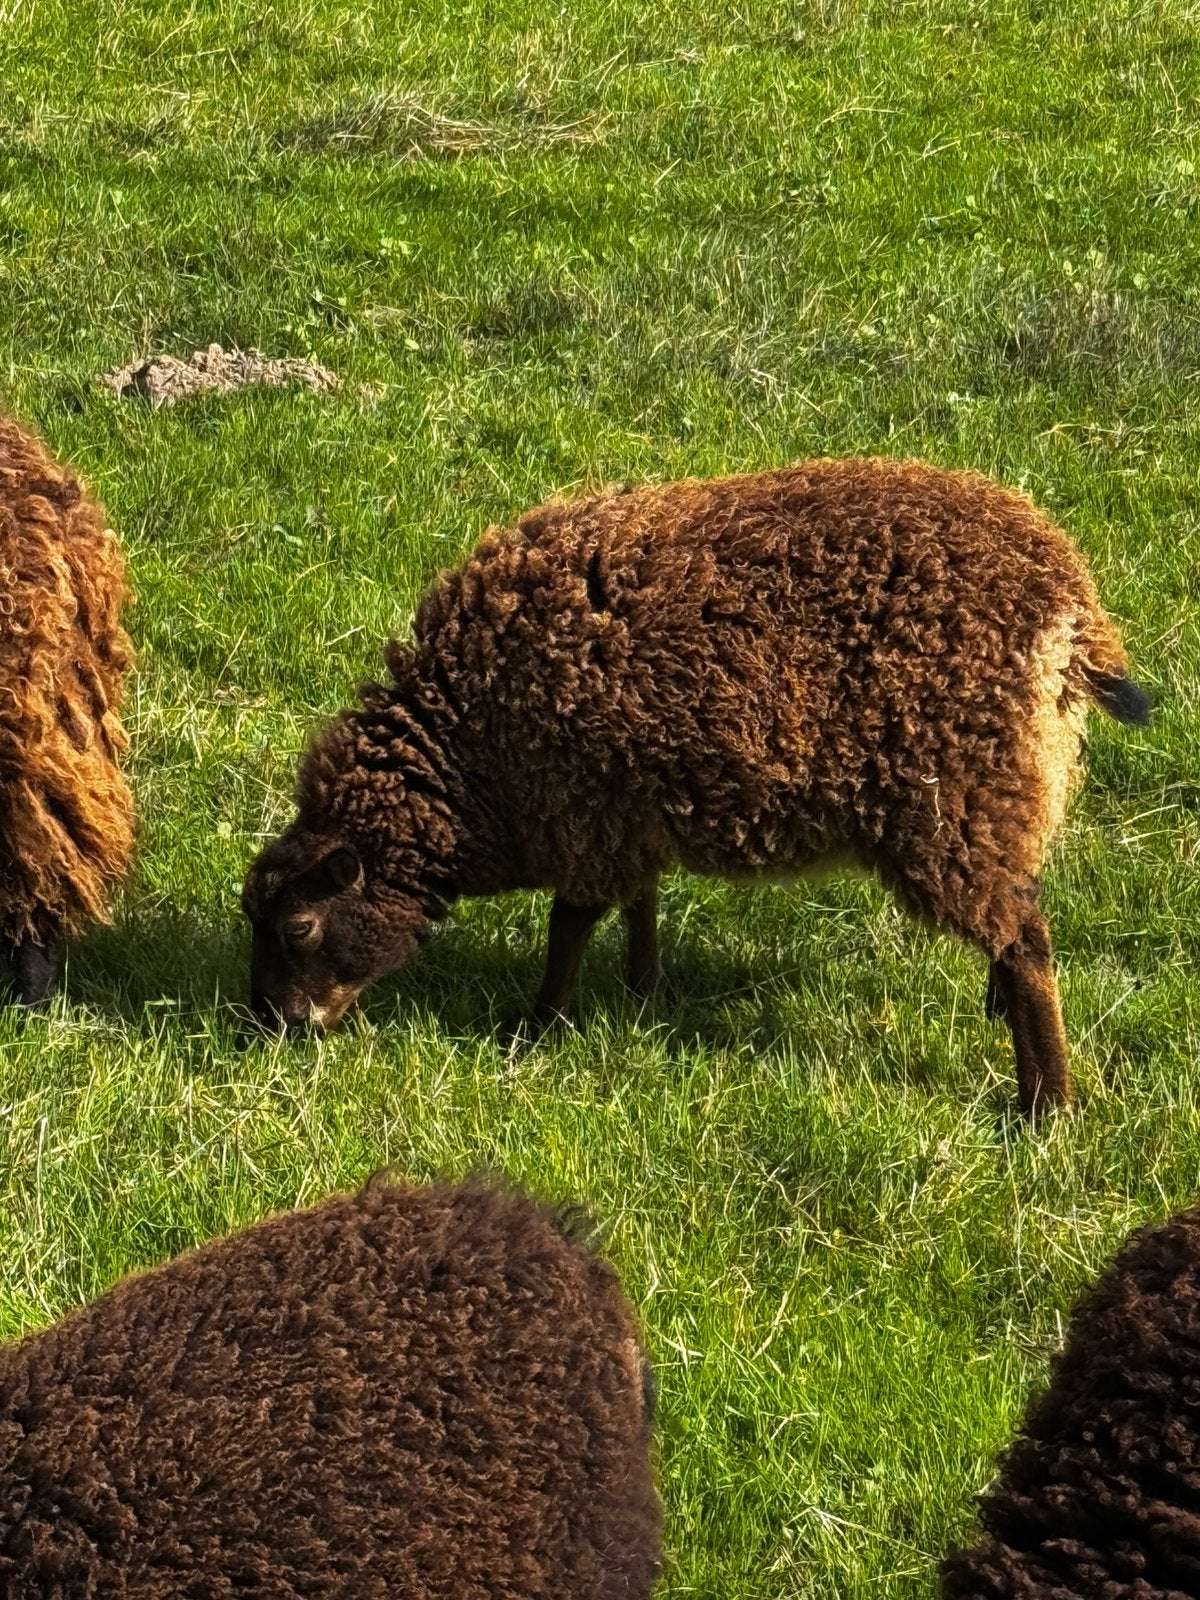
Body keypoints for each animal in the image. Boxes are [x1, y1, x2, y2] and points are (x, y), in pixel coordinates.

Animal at [242, 457, 1150, 1116]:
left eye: (298, 928)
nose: (271, 1027)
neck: (466, 754)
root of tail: (1073, 612)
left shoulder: (581, 812)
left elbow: (569, 926)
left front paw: (537, 1026)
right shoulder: (624, 813)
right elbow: (638, 903)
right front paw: (643, 991)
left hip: (949, 798)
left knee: (1027, 939)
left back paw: (1045, 1107)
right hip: (1005, 791)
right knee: (1018, 907)